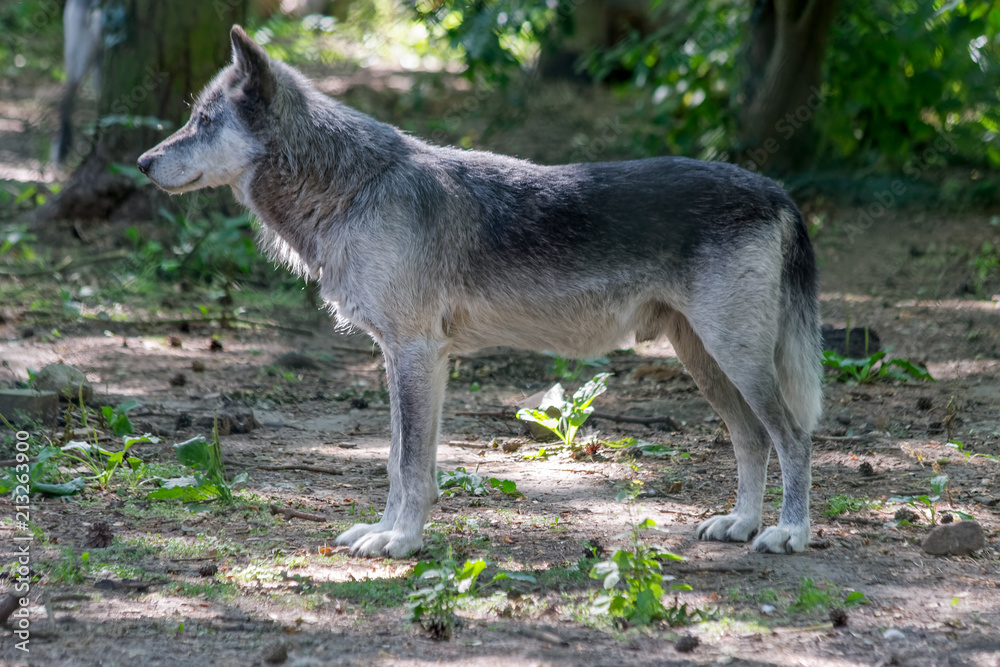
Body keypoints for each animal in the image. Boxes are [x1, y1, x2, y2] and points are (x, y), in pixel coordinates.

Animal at [138, 26, 822, 558]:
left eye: (202, 122)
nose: (143, 163)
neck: (355, 188)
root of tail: (777, 190)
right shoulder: (410, 358)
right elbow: (400, 460)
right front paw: (385, 532)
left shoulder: (414, 352)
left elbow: (409, 464)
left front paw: (401, 543)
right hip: (704, 359)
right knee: (753, 439)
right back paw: (741, 524)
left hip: (734, 357)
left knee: (793, 437)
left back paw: (788, 533)